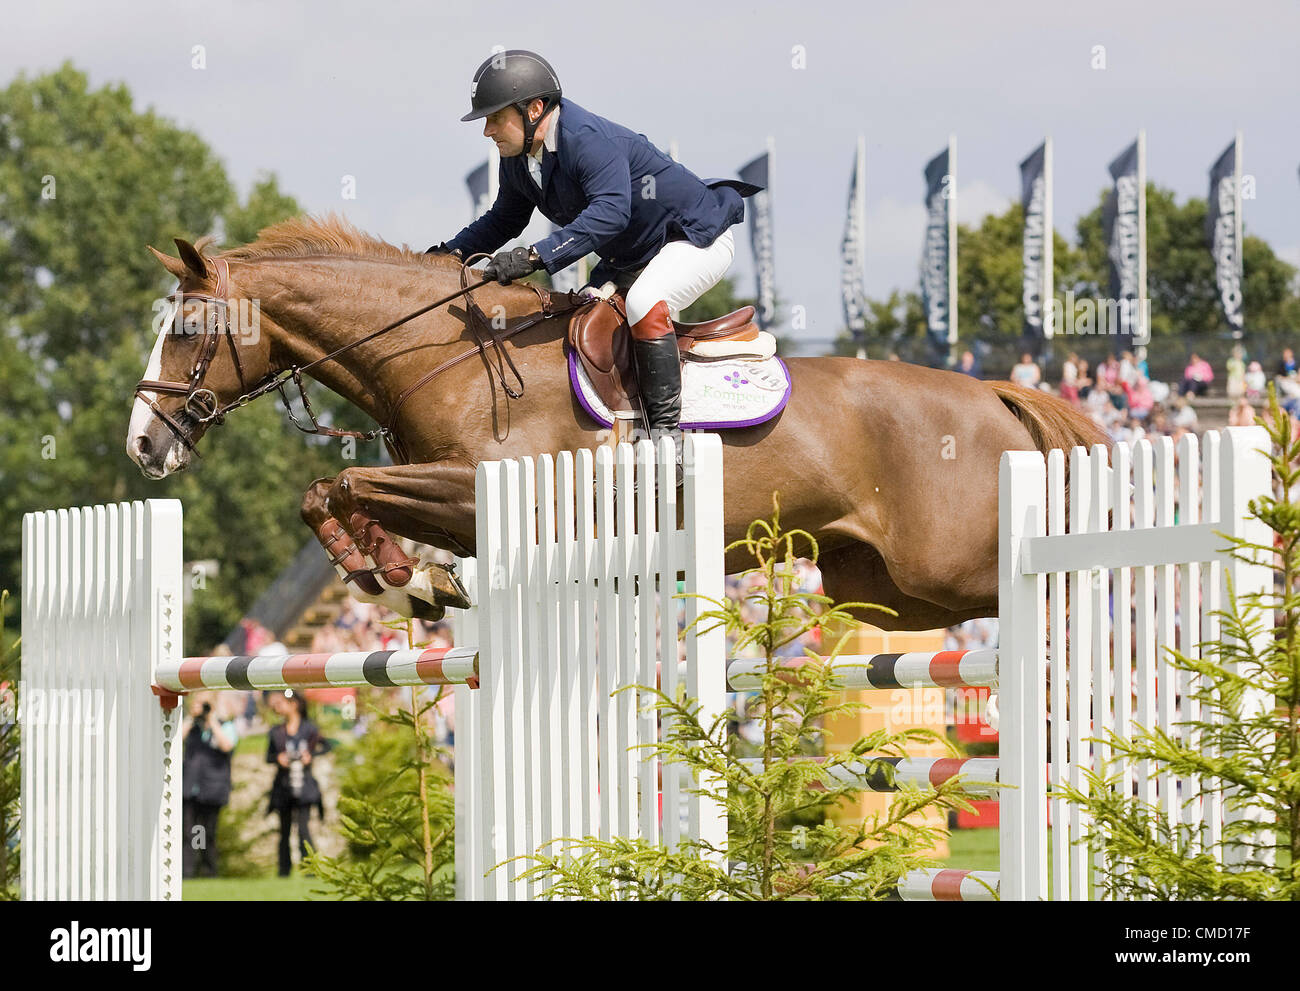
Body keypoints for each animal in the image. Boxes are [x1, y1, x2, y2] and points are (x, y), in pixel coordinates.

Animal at [127, 215, 1105, 631]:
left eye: (188, 329)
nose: (143, 444)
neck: (450, 354)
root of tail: (989, 394)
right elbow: (333, 489)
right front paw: (408, 579)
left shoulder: (482, 494)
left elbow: (343, 480)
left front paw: (403, 576)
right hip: (886, 592)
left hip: (946, 566)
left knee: (1056, 583)